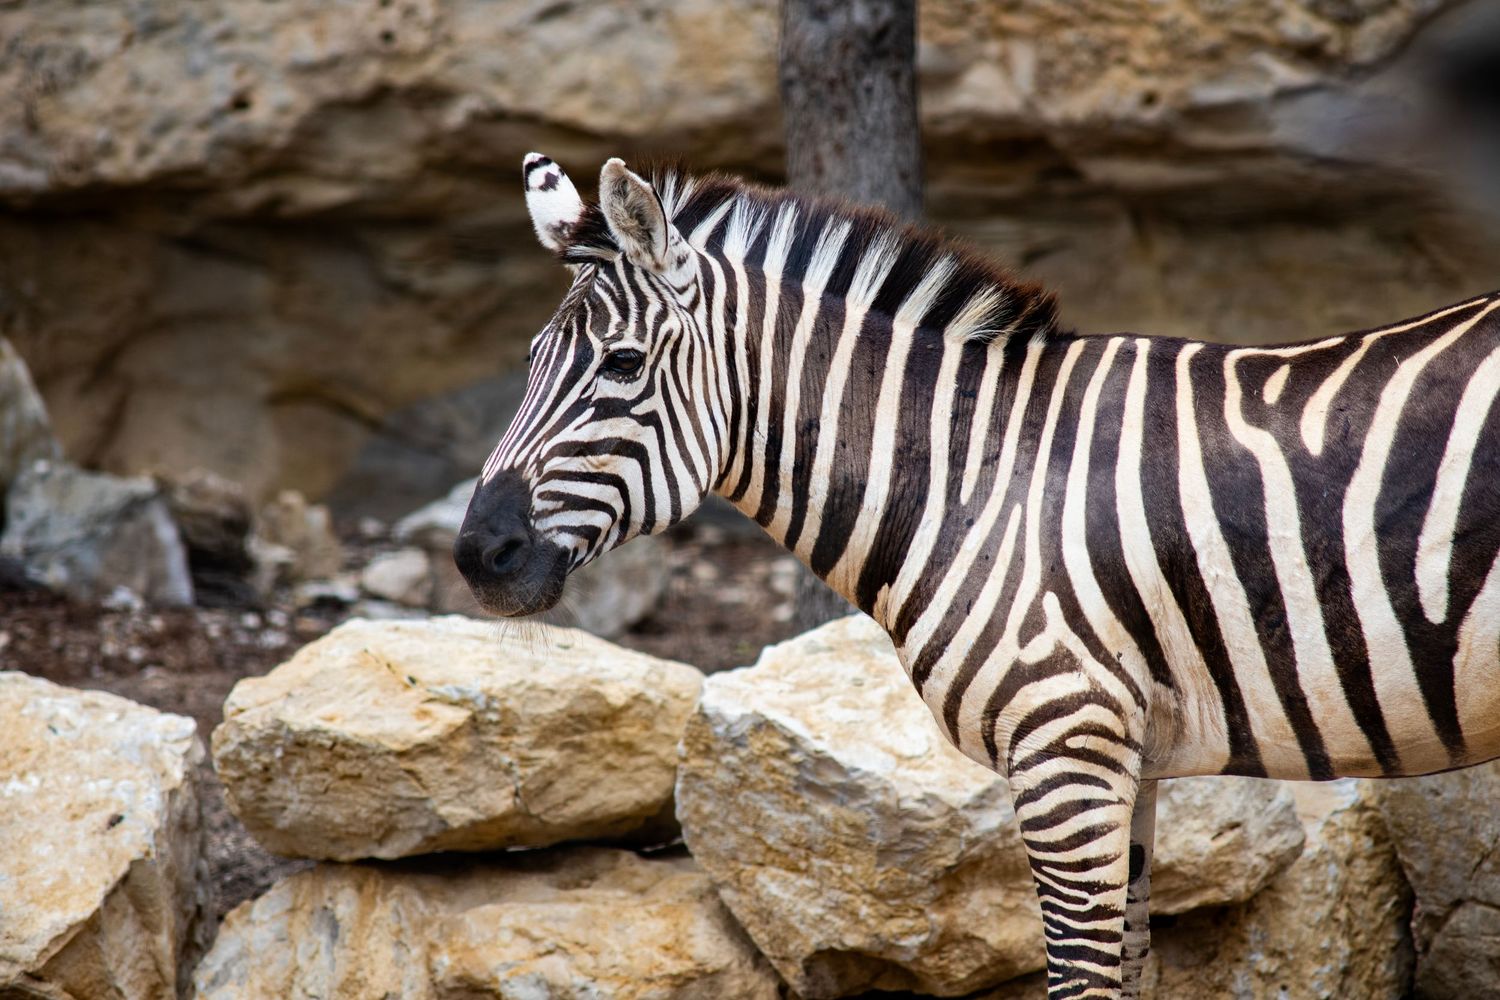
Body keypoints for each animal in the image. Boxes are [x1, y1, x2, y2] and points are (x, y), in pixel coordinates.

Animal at [453, 152, 1500, 1000]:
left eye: (623, 364)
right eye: (532, 361)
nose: (475, 555)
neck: (980, 476)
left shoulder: (1065, 742)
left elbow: (1079, 980)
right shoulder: (1129, 756)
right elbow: (1132, 969)